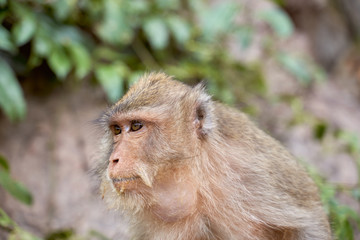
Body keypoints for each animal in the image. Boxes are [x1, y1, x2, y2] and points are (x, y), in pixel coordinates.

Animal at [93, 72, 332, 240]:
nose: (113, 159)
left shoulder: (255, 178)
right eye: (117, 130)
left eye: (136, 126)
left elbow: (309, 226)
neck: (196, 176)